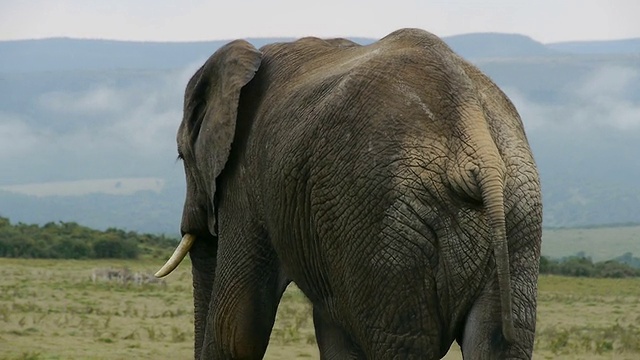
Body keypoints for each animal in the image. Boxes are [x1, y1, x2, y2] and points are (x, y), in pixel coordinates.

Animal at [155, 26, 540, 358]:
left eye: (181, 157)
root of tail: (471, 130)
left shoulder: (248, 182)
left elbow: (237, 327)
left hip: (384, 222)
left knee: (398, 342)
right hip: (516, 219)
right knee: (498, 342)